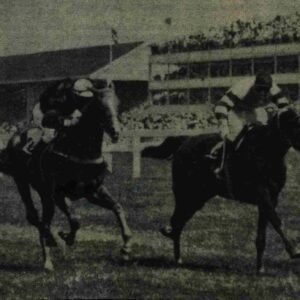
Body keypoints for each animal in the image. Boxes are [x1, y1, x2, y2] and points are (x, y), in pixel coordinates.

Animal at [0, 81, 132, 270]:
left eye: (118, 104)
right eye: (100, 106)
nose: (116, 132)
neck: (79, 149)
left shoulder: (93, 191)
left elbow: (118, 207)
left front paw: (126, 248)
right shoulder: (59, 193)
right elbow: (75, 219)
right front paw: (66, 237)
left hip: (44, 192)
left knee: (44, 219)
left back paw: (50, 243)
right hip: (22, 182)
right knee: (35, 216)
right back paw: (48, 258)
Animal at [142, 108, 300, 274]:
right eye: (296, 124)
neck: (266, 151)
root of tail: (184, 140)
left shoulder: (271, 198)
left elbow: (262, 235)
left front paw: (260, 268)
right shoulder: (262, 194)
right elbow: (276, 221)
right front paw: (294, 250)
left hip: (198, 198)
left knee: (179, 222)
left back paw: (177, 257)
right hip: (185, 193)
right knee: (177, 221)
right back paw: (176, 255)